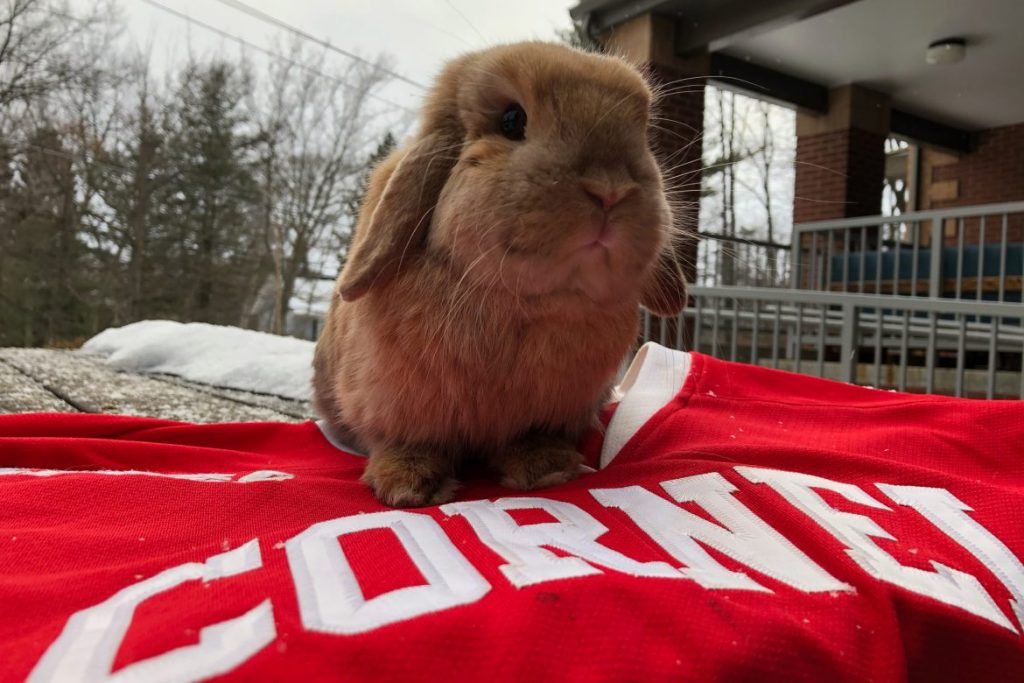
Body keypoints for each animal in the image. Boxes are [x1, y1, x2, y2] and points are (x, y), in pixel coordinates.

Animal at [313, 41, 688, 507]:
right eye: (512, 120)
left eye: (643, 134)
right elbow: (407, 441)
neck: (521, 306)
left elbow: (531, 438)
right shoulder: (392, 402)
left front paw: (548, 469)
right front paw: (409, 486)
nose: (610, 189)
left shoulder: (552, 410)